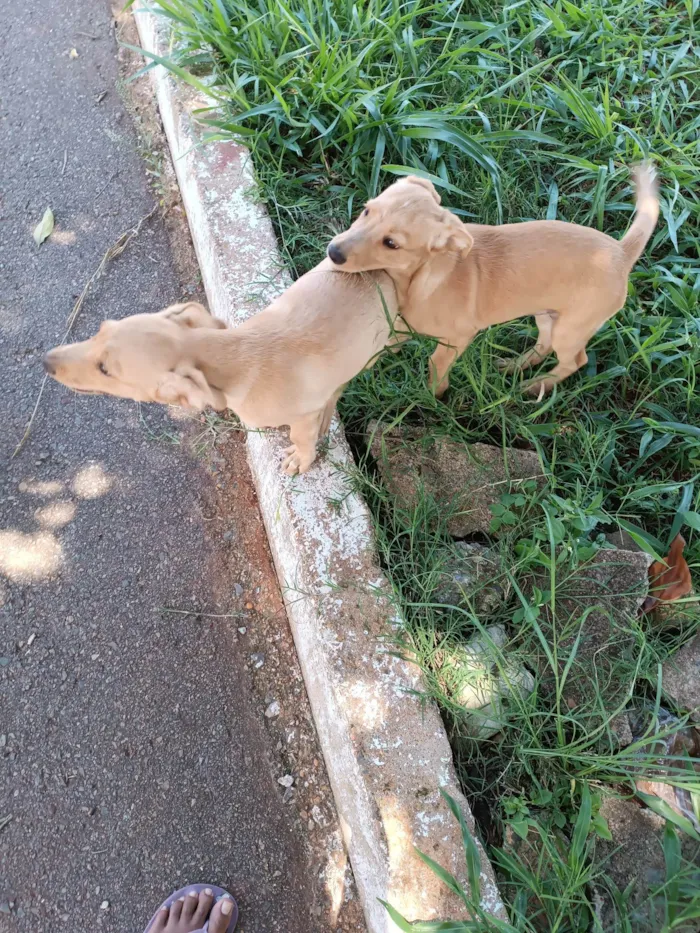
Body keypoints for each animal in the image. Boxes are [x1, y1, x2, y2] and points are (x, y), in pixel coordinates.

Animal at [43, 260, 400, 474]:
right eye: (100, 329)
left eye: (105, 369)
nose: (46, 362)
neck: (236, 356)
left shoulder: (302, 415)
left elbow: (301, 437)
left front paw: (301, 458)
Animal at [326, 164, 660, 396]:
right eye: (366, 211)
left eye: (391, 244)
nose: (333, 252)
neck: (420, 279)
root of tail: (621, 251)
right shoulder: (402, 326)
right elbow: (380, 348)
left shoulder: (458, 338)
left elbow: (436, 364)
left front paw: (434, 397)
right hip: (547, 315)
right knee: (543, 344)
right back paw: (515, 367)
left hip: (572, 329)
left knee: (574, 361)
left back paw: (537, 386)